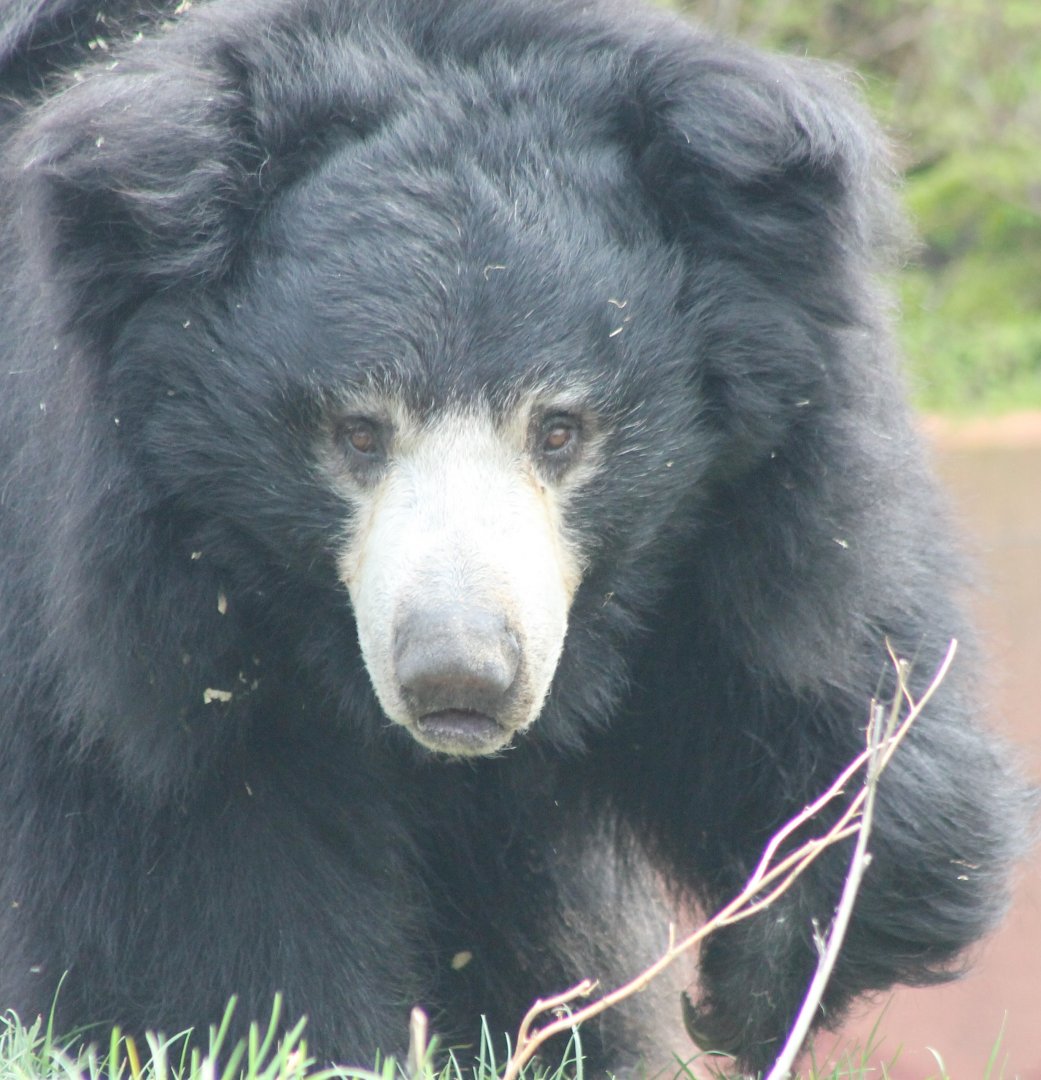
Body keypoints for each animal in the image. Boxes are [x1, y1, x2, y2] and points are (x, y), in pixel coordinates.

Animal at [0, 0, 1031, 1073]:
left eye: (560, 429)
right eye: (357, 433)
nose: (459, 678)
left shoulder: (748, 514)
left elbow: (811, 681)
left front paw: (760, 976)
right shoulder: (135, 616)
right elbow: (192, 880)